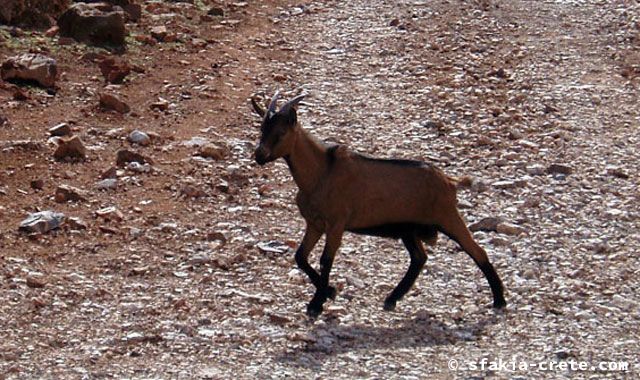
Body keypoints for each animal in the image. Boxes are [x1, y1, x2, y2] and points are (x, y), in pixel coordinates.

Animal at [250, 92, 504, 318]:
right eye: (262, 129)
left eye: (281, 132)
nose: (259, 155)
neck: (321, 173)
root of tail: (449, 181)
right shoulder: (315, 224)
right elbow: (300, 257)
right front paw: (329, 292)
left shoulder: (336, 224)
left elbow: (325, 260)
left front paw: (317, 303)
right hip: (408, 229)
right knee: (419, 258)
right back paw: (392, 298)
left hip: (447, 216)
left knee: (477, 251)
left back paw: (499, 300)